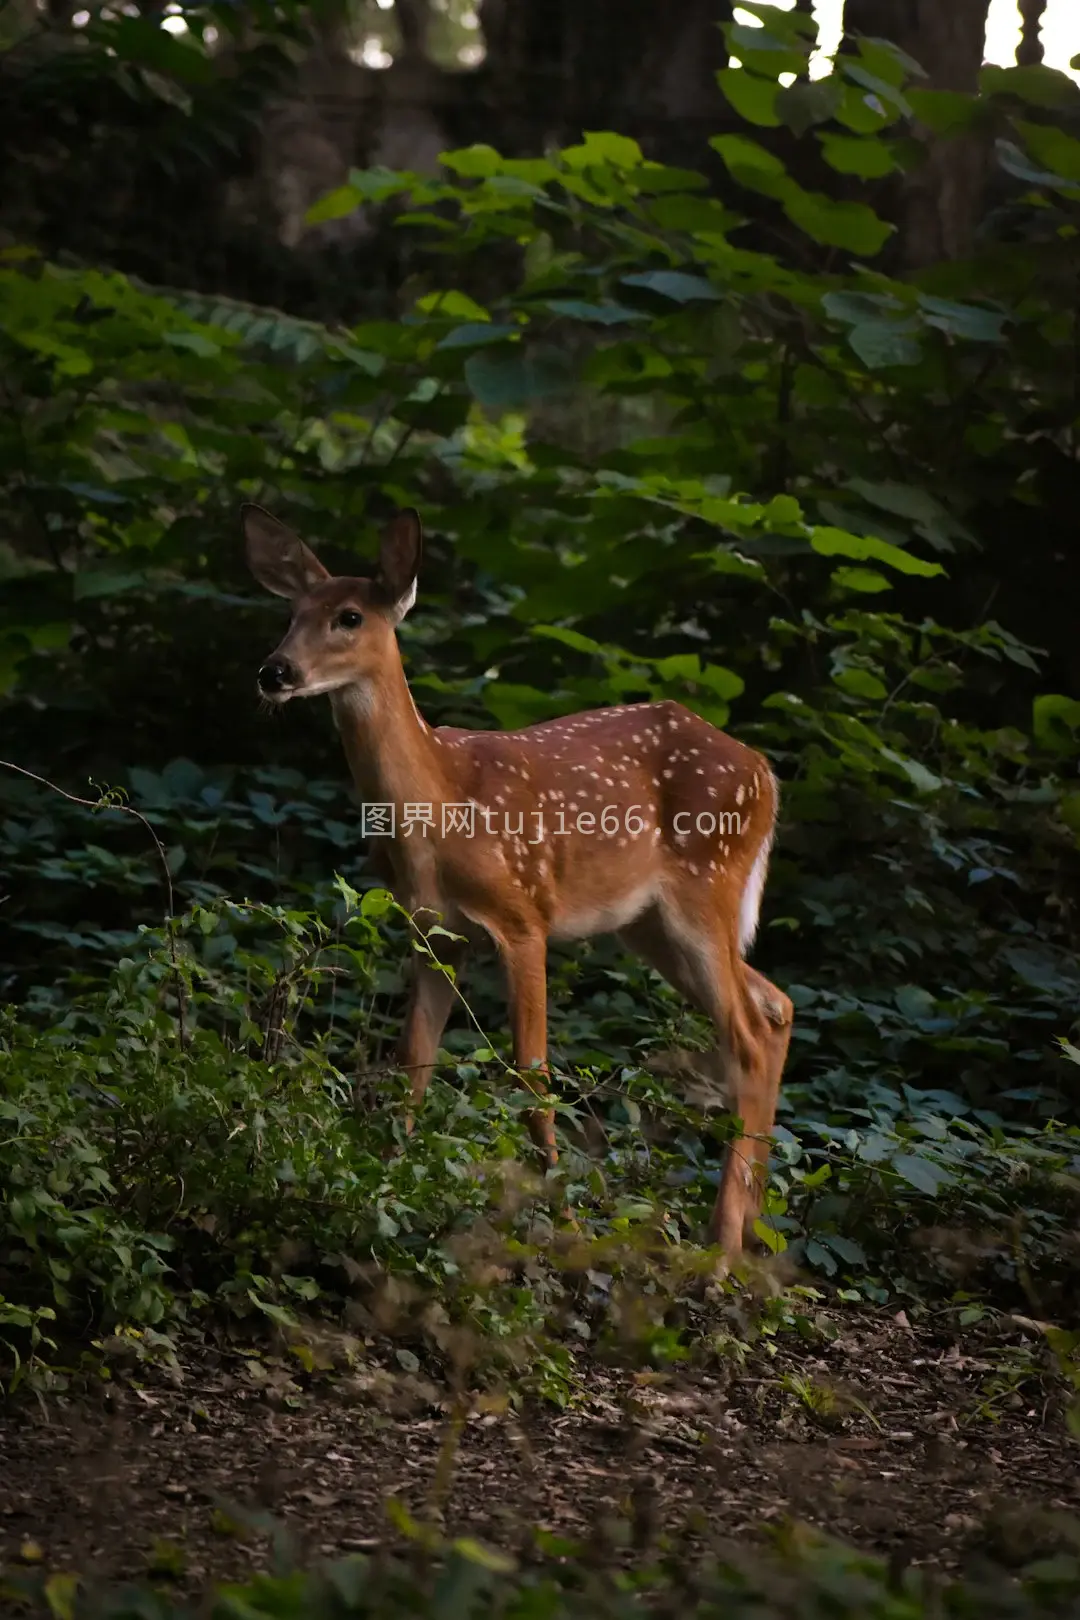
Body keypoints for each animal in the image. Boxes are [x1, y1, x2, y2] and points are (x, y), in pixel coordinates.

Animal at [244, 502, 793, 1250]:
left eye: (350, 617)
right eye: (293, 612)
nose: (275, 671)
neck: (438, 807)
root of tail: (764, 771)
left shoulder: (523, 915)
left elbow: (532, 1074)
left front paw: (563, 1219)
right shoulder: (435, 935)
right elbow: (412, 1063)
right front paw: (384, 1186)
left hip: (703, 891)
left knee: (748, 1037)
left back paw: (723, 1244)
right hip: (649, 926)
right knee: (776, 1007)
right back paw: (756, 1226)